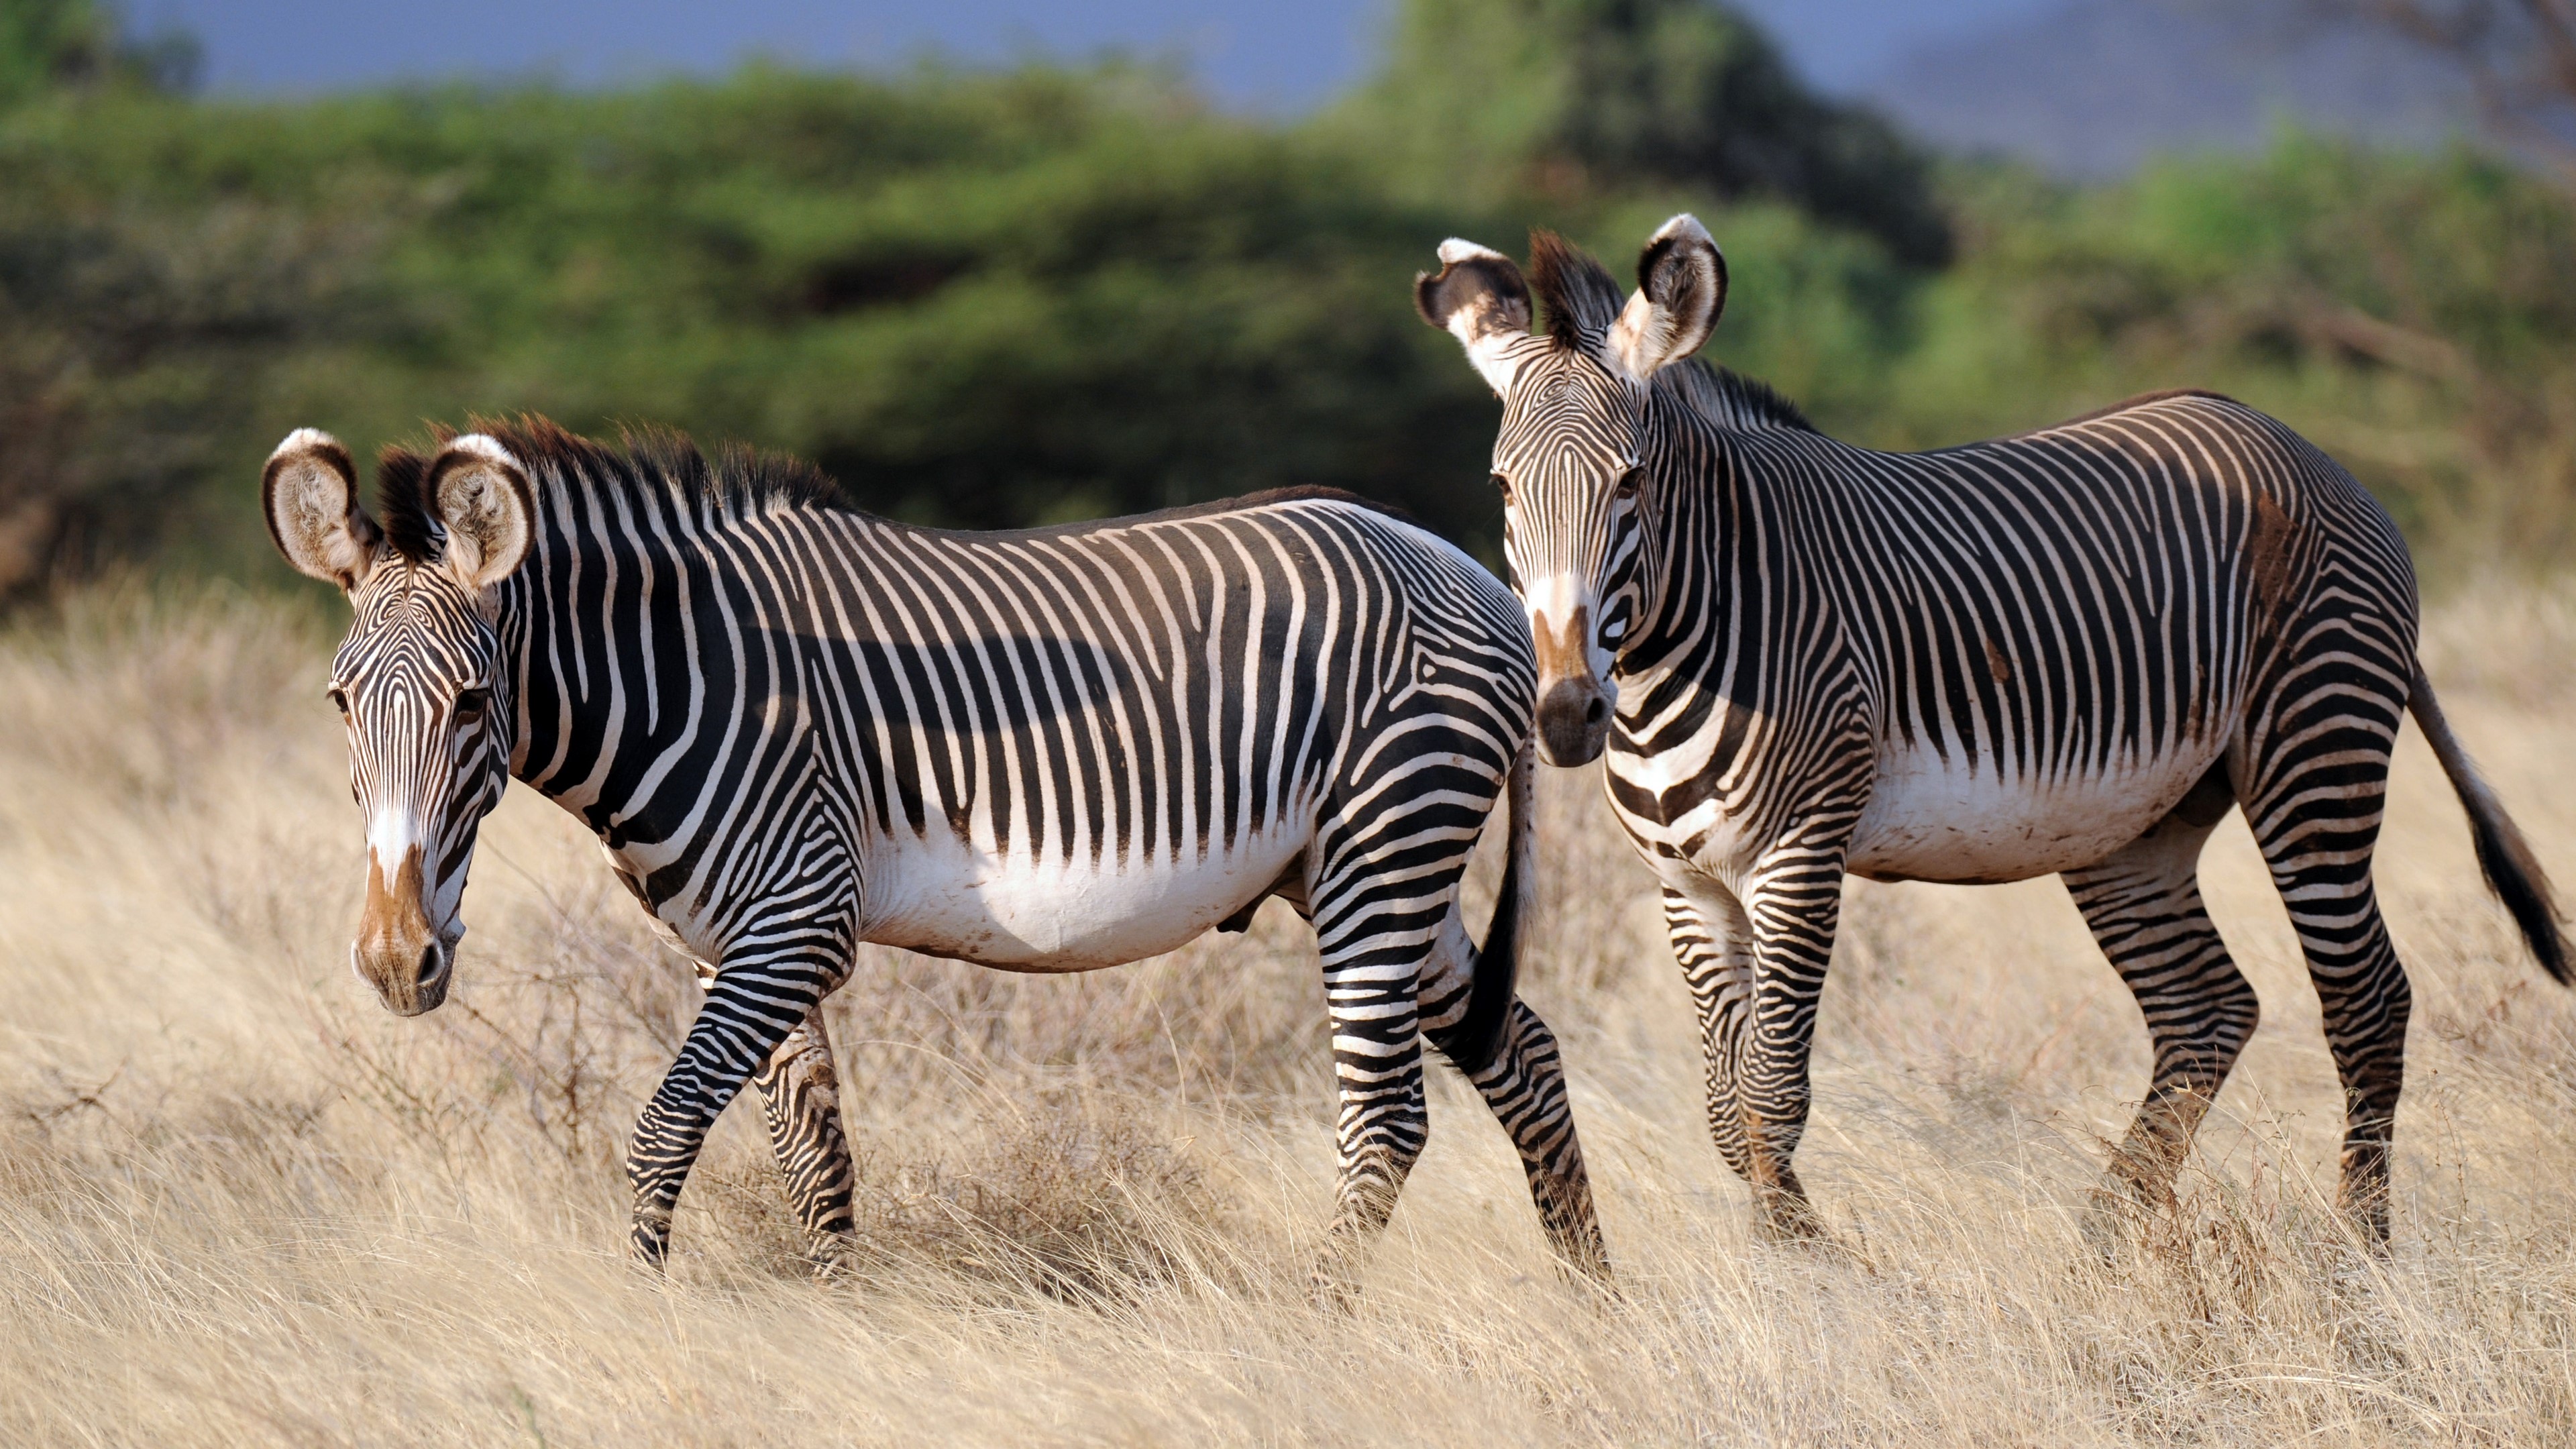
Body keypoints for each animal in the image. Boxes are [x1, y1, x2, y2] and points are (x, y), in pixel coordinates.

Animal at [259, 417, 1608, 1297]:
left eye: (475, 703)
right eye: (337, 704)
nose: (397, 962)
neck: (690, 680)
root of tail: (1472, 573)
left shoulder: (797, 916)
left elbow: (663, 1129)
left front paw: (639, 1317)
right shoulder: (741, 944)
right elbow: (812, 1159)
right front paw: (838, 1324)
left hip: (1388, 838)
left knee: (1386, 1118)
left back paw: (1315, 1320)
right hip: (1364, 869)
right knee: (1525, 1057)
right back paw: (1592, 1298)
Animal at [1415, 215, 2569, 1248]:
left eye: (1632, 484)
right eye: (1503, 490)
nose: (1567, 715)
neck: (1680, 645)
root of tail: (2305, 447)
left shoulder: (1799, 856)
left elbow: (1771, 1095)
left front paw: (1811, 1281)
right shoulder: (1686, 883)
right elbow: (1724, 1110)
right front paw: (1783, 1262)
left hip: (2315, 749)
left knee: (2367, 1002)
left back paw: (2357, 1254)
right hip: (2134, 827)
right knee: (2208, 1011)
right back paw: (2100, 1246)